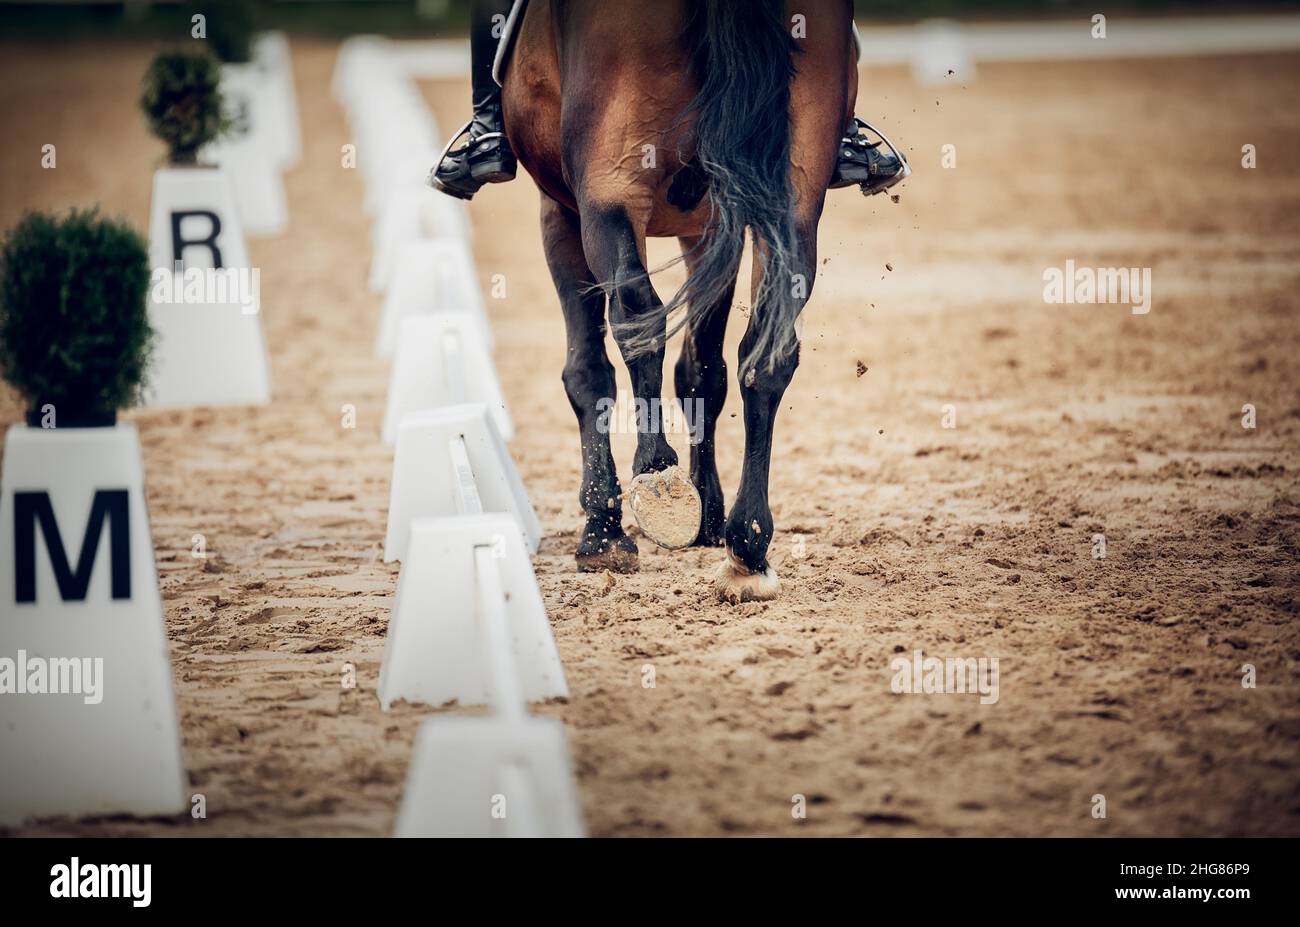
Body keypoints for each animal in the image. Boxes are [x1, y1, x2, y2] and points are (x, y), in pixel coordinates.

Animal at [500, 0, 856, 602]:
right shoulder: (712, 224)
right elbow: (703, 371)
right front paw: (709, 515)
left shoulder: (561, 208)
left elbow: (588, 370)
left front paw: (603, 528)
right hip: (792, 199)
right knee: (767, 352)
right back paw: (747, 547)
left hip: (609, 186)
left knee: (635, 315)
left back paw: (656, 479)